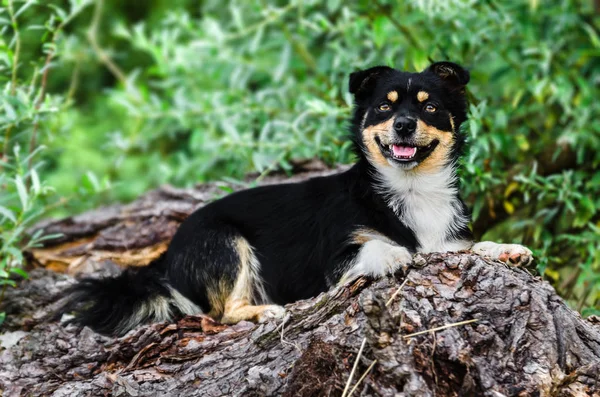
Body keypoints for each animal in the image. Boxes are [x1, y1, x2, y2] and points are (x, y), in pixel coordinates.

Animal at [58, 61, 532, 334]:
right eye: (385, 106)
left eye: (429, 107)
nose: (403, 125)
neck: (409, 189)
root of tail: (165, 261)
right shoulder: (335, 261)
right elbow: (376, 247)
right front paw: (395, 254)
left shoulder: (449, 243)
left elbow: (472, 247)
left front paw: (506, 248)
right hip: (224, 241)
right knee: (221, 312)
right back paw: (263, 312)